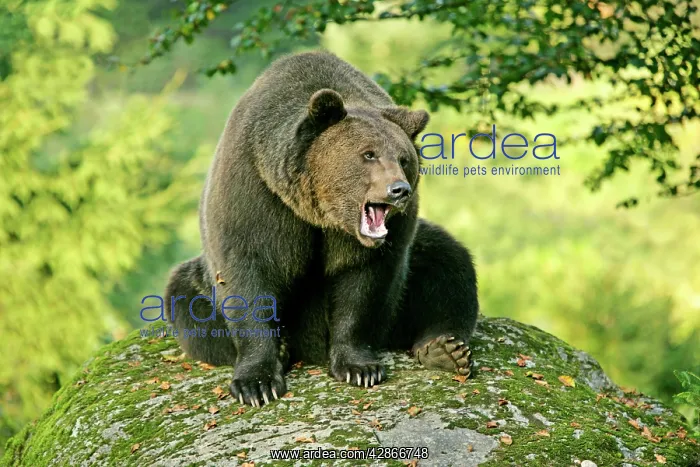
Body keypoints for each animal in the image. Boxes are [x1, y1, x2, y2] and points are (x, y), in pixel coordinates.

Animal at [164, 50, 479, 407]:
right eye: (368, 154)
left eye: (404, 158)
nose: (399, 190)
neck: (318, 212)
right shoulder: (257, 194)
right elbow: (246, 276)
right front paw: (257, 383)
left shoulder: (379, 238)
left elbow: (361, 285)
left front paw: (360, 368)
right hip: (198, 281)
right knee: (189, 303)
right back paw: (283, 348)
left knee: (447, 263)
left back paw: (444, 349)